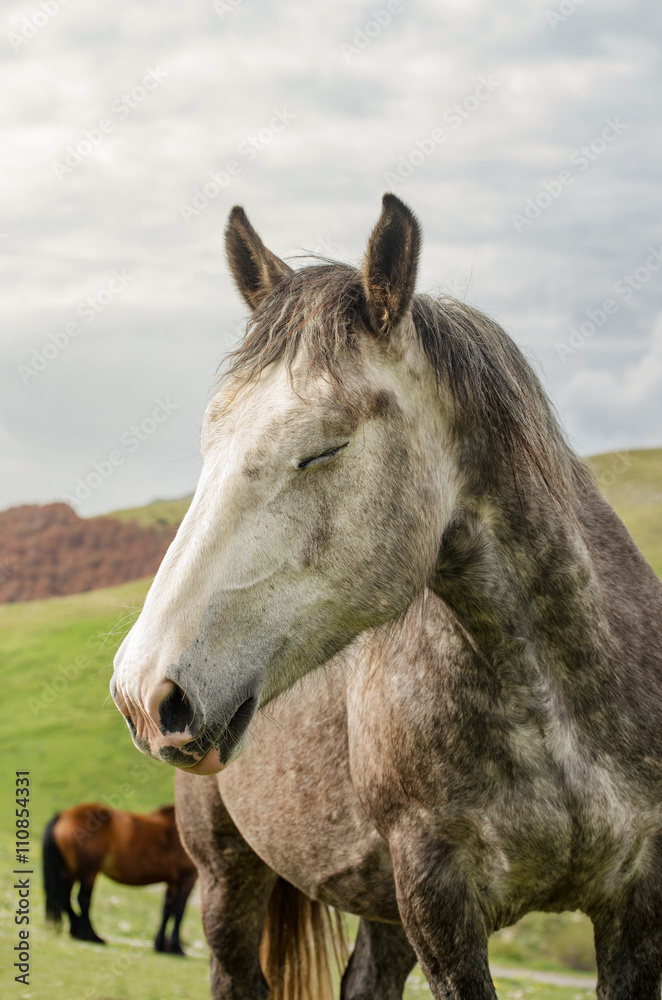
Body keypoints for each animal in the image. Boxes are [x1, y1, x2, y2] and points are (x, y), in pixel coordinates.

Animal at [43, 803, 197, 954]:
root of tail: (63, 815)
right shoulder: (188, 877)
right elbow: (179, 910)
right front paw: (175, 947)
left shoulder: (172, 881)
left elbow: (167, 910)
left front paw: (160, 944)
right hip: (89, 871)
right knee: (83, 899)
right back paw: (90, 935)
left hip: (70, 871)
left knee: (64, 897)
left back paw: (77, 931)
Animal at [111, 193, 662, 999]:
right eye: (210, 442)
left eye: (324, 449)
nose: (146, 691)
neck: (555, 709)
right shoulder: (439, 902)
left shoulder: (636, 899)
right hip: (226, 876)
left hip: (382, 911)